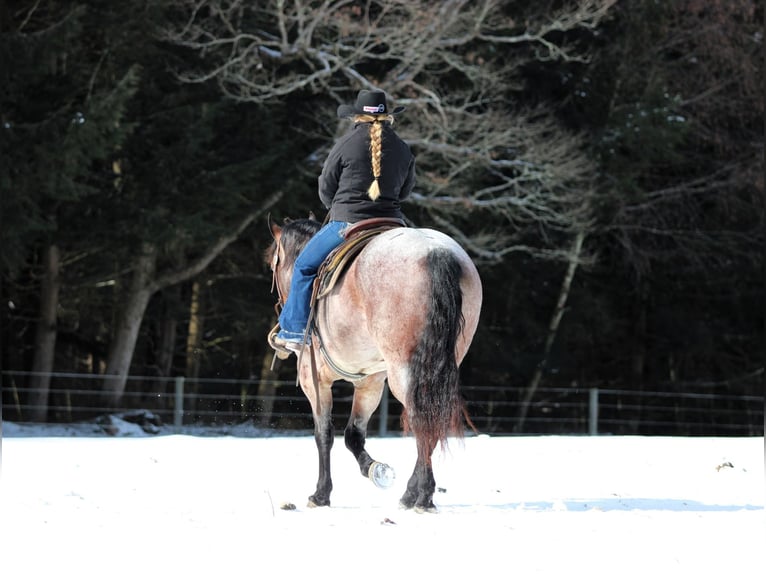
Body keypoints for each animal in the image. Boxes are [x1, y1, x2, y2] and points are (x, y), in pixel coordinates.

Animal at [268, 217, 484, 512]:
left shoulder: (314, 380)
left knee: (421, 419)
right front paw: (376, 470)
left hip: (404, 370)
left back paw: (421, 495)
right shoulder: (370, 382)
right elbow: (353, 434)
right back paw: (413, 494)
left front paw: (321, 494)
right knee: (432, 419)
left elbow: (324, 434)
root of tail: (435, 252)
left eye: (273, 264)